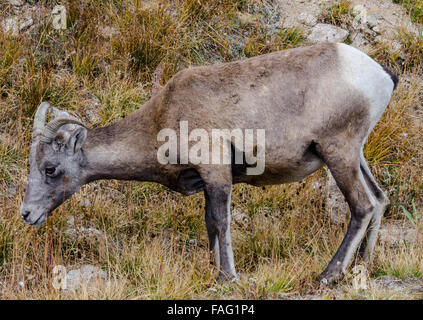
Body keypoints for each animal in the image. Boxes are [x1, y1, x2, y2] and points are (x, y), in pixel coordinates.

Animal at [19, 42, 398, 282]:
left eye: (50, 169)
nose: (26, 214)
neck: (162, 120)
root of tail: (379, 74)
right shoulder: (204, 182)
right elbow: (209, 225)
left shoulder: (216, 174)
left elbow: (220, 221)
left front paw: (226, 277)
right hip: (355, 155)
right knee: (379, 200)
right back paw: (362, 269)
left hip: (339, 153)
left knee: (362, 206)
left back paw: (328, 275)